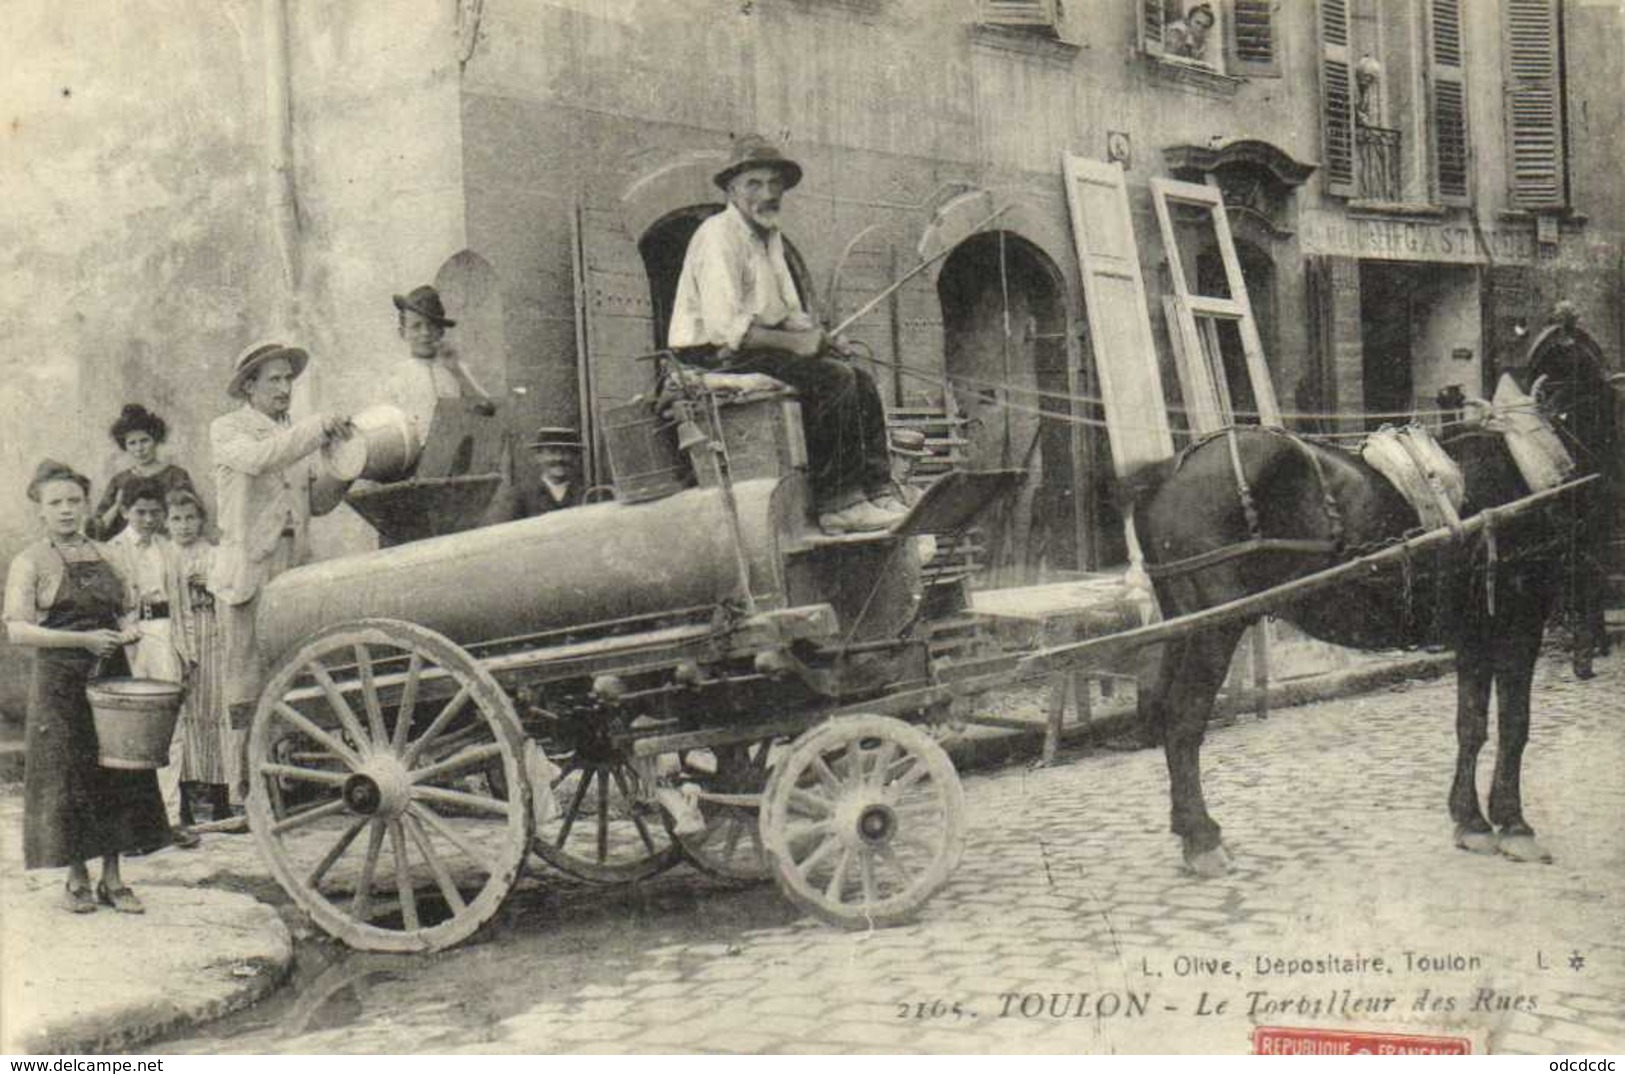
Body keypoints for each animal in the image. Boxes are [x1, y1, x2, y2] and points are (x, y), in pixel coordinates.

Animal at [1124, 414, 1592, 877]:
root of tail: (1170, 469)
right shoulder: (1520, 623)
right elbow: (1515, 725)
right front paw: (1515, 825)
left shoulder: (1476, 633)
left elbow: (1471, 725)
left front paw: (1471, 821)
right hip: (1215, 629)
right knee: (1183, 719)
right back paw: (1202, 839)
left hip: (1185, 627)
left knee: (1165, 710)